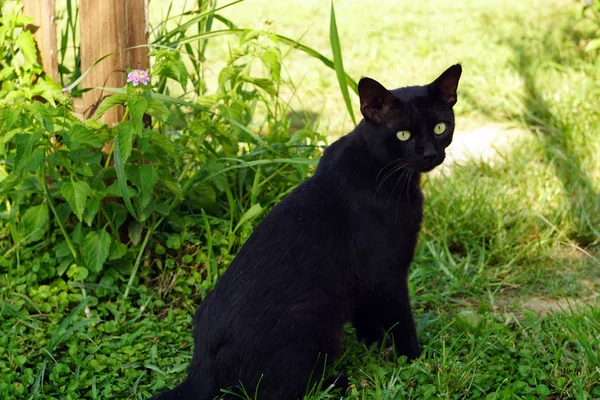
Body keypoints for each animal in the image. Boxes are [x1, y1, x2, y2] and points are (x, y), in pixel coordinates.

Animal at [150, 64, 460, 398]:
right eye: (403, 135)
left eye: (440, 128)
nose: (430, 154)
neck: (384, 171)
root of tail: (201, 366)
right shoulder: (386, 272)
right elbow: (402, 321)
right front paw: (415, 358)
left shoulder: (361, 280)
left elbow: (366, 318)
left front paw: (373, 347)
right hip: (312, 315)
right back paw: (338, 382)